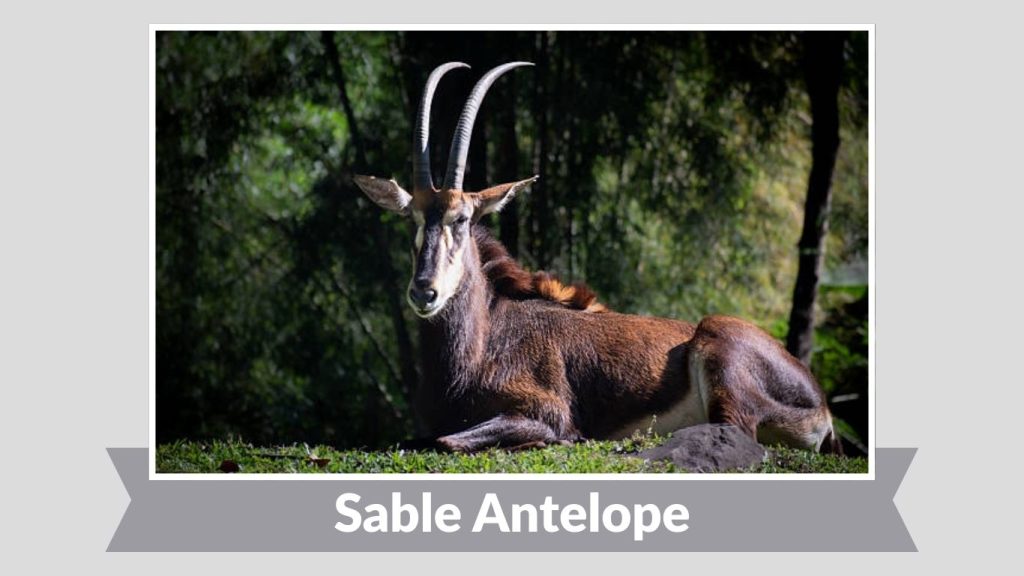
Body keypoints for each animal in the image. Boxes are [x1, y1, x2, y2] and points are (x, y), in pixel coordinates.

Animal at [353, 62, 841, 455]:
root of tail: (820, 402)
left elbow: (448, 440)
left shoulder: (545, 410)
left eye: (462, 218)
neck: (486, 337)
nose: (424, 291)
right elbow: (418, 437)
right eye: (412, 219)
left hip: (720, 350)